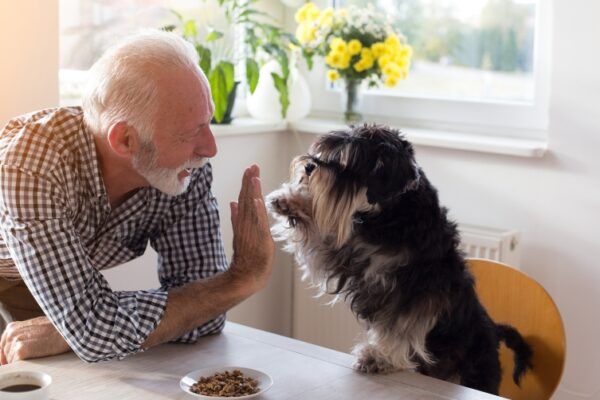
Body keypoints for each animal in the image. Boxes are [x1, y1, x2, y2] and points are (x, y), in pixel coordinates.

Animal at [266, 124, 528, 394]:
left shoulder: (416, 292)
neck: (392, 216)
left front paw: (378, 358)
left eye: (349, 162)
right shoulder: (345, 254)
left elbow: (401, 328)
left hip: (475, 373)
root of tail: (494, 331)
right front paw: (289, 201)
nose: (309, 166)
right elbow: (320, 236)